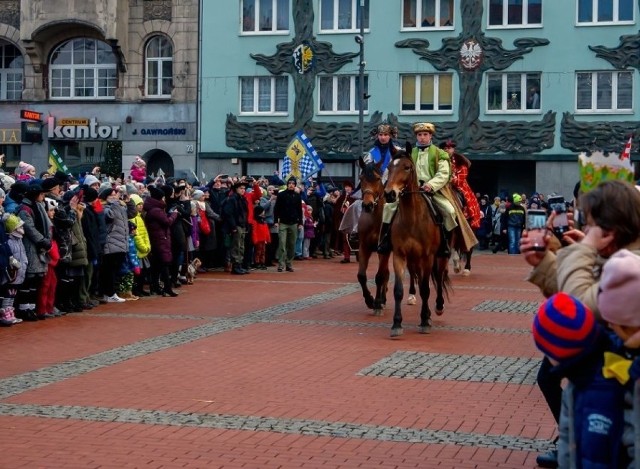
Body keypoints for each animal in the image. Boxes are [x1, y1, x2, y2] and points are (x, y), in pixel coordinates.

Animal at [384, 144, 450, 336]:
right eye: (389, 167)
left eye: (407, 167)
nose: (390, 194)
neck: (412, 220)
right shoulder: (399, 255)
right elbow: (399, 291)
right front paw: (397, 323)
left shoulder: (428, 257)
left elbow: (426, 289)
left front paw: (424, 322)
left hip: (440, 257)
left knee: (439, 277)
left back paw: (437, 307)